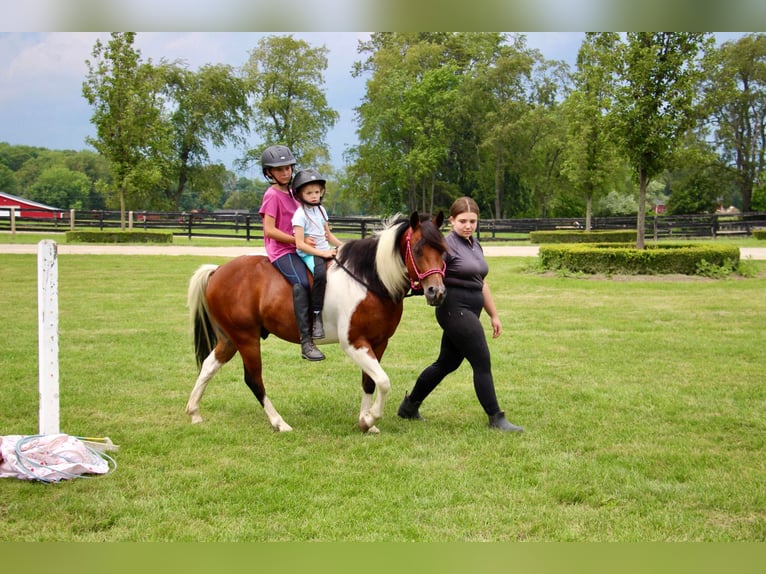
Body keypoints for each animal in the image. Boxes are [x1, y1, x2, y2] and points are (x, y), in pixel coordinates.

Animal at [186, 214, 448, 434]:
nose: (436, 292)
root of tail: (219, 270)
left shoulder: (378, 342)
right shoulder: (355, 343)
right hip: (246, 338)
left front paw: (366, 422)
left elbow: (369, 383)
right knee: (253, 379)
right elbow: (383, 381)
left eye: (443, 251)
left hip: (230, 339)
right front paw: (370, 418)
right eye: (417, 249)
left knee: (208, 366)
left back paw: (194, 412)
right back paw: (279, 422)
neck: (369, 280)